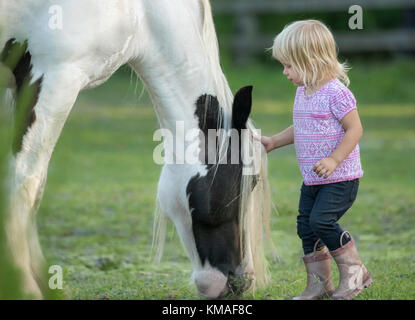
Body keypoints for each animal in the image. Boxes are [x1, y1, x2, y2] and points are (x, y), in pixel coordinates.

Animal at [0, 0, 272, 300]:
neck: (139, 12)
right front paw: (25, 287)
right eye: (252, 181)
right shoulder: (53, 76)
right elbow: (25, 182)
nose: (242, 281)